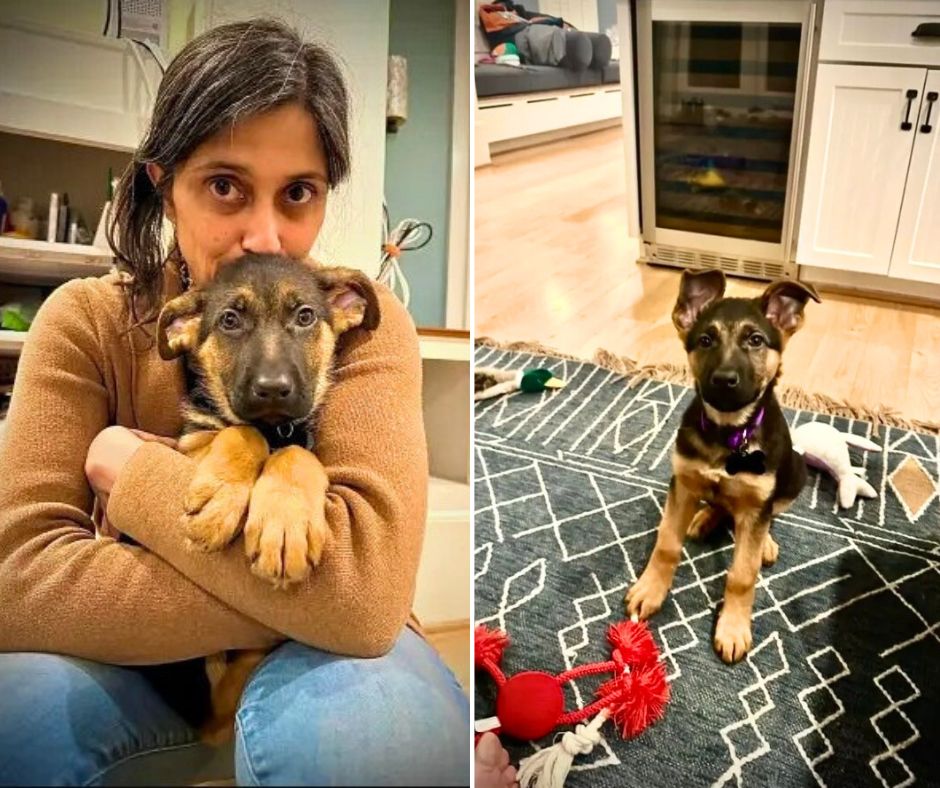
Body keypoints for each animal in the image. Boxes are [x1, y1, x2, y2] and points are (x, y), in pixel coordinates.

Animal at [158, 252, 382, 740]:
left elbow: (298, 454)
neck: (276, 427)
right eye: (229, 320)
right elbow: (242, 432)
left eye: (305, 316)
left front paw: (284, 526)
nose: (273, 389)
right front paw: (220, 499)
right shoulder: (190, 444)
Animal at [628, 270, 820, 664]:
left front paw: (732, 628)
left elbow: (742, 575)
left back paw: (765, 543)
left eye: (756, 340)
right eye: (705, 340)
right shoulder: (683, 484)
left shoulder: (758, 503)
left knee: (769, 515)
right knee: (718, 504)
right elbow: (666, 544)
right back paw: (705, 517)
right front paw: (650, 589)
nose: (724, 380)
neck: (728, 434)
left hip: (795, 475)